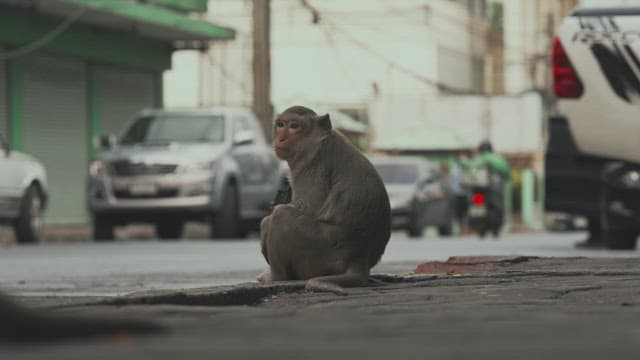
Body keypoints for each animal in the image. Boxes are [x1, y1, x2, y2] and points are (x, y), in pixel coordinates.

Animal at [258, 105, 390, 296]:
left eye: (294, 126)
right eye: (281, 125)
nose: (280, 138)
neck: (318, 139)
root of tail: (358, 258)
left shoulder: (312, 164)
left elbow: (308, 207)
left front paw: (265, 223)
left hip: (319, 252)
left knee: (281, 214)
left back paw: (276, 276)